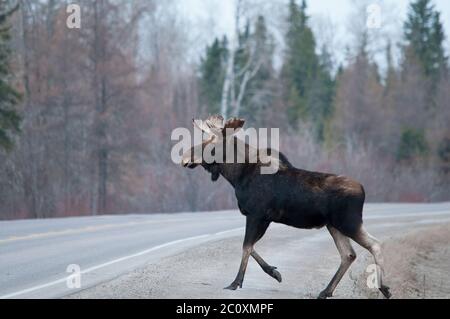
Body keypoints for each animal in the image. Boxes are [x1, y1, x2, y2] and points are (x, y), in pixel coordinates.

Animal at [179, 115, 390, 300]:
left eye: (211, 143)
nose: (184, 157)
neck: (236, 176)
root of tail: (362, 190)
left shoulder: (257, 214)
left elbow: (246, 246)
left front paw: (236, 282)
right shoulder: (263, 217)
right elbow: (250, 246)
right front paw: (274, 272)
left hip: (348, 222)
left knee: (375, 244)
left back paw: (384, 287)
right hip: (334, 225)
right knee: (348, 254)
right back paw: (326, 291)